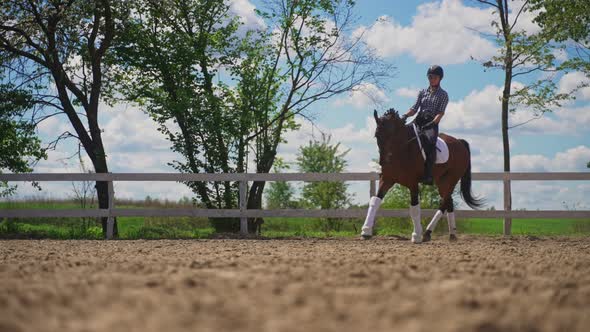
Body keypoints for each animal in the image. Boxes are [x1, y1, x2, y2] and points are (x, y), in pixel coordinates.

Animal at [364, 109, 484, 241]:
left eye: (392, 135)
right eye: (377, 136)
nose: (384, 161)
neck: (401, 151)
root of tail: (459, 142)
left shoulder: (412, 183)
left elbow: (414, 208)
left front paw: (416, 235)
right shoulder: (387, 179)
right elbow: (375, 201)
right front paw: (366, 231)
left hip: (451, 179)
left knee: (444, 202)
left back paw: (427, 232)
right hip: (442, 181)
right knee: (449, 201)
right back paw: (451, 234)